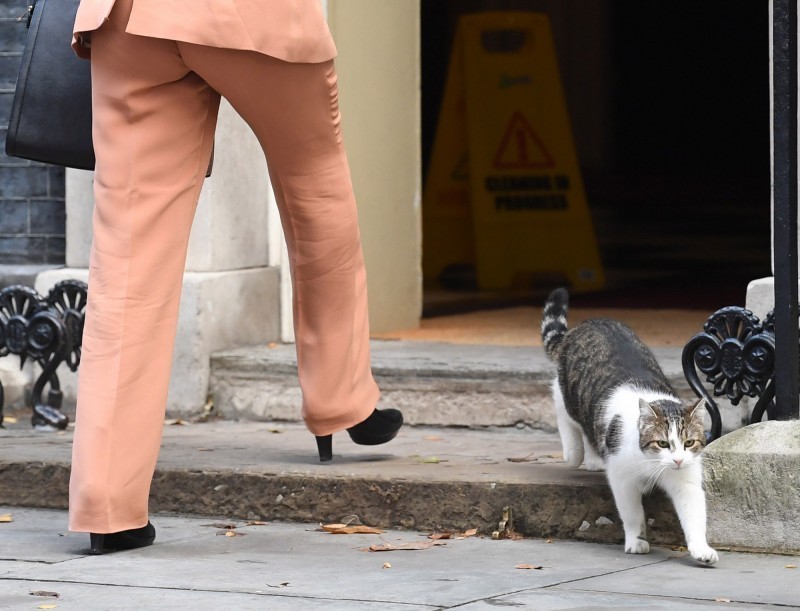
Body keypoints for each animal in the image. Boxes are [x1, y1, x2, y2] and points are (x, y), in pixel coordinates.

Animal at [536, 290, 720, 568]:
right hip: (569, 393)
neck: (652, 463)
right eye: (662, 443)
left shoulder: (686, 479)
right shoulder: (622, 477)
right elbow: (632, 513)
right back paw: (574, 451)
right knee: (560, 402)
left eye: (689, 443)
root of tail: (587, 324)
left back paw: (593, 458)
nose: (677, 460)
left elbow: (694, 514)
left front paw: (701, 549)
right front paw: (636, 540)